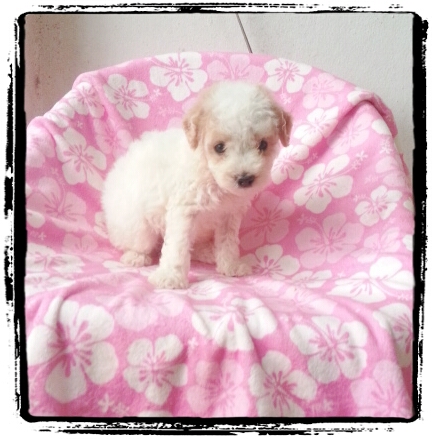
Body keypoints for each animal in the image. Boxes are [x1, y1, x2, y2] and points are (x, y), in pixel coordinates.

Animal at [101, 80, 292, 289]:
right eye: (219, 147)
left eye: (263, 145)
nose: (245, 179)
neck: (212, 177)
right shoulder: (183, 211)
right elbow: (178, 246)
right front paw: (170, 277)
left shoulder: (230, 215)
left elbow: (228, 243)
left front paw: (230, 266)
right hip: (137, 226)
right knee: (137, 243)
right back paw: (135, 256)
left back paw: (208, 252)